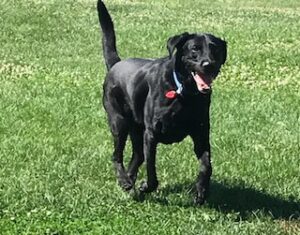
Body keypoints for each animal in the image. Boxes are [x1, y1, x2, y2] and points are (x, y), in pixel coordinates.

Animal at [97, 0, 226, 204]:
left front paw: (201, 192)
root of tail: (116, 64)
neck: (184, 93)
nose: (209, 64)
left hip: (136, 128)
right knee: (117, 155)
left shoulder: (201, 134)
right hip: (119, 121)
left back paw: (130, 183)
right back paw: (124, 180)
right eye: (194, 49)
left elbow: (207, 165)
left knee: (137, 156)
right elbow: (151, 170)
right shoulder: (151, 134)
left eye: (215, 49)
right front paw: (146, 186)